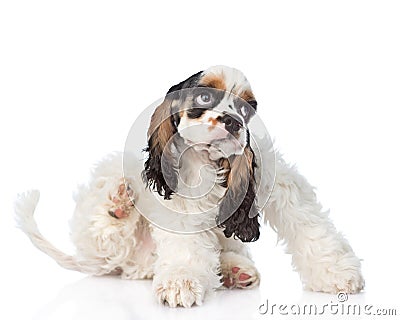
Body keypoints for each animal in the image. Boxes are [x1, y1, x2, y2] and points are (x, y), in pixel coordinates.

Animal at [14, 65, 364, 308]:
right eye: (205, 96)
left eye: (248, 108)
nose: (234, 122)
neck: (212, 162)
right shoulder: (180, 204)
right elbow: (185, 248)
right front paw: (180, 284)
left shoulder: (279, 186)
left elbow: (309, 228)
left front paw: (338, 274)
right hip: (111, 202)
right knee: (109, 243)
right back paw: (117, 205)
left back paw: (235, 271)